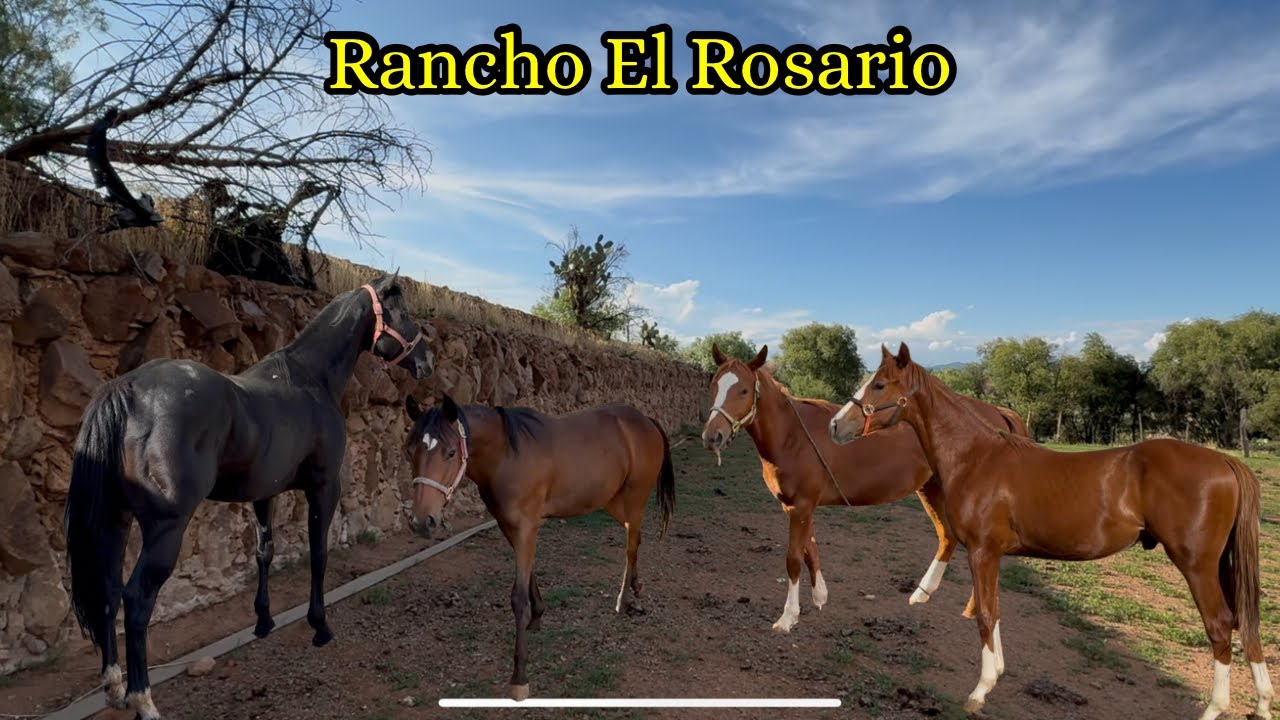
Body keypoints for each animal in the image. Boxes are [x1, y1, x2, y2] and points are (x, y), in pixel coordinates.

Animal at [64, 273, 433, 720]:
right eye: (403, 312)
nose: (428, 362)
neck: (310, 380)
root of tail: (129, 389)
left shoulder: (265, 495)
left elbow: (264, 553)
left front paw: (263, 621)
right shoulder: (324, 488)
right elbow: (318, 555)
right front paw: (320, 625)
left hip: (115, 521)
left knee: (108, 589)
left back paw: (115, 686)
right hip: (165, 529)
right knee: (136, 599)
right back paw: (143, 700)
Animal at [403, 393, 675, 701]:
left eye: (450, 453)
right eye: (409, 451)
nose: (422, 521)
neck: (508, 454)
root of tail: (645, 420)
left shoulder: (525, 526)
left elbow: (518, 597)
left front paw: (519, 678)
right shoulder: (511, 526)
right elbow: (530, 573)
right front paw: (538, 616)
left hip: (635, 498)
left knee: (630, 546)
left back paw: (623, 599)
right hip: (613, 501)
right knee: (635, 537)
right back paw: (637, 588)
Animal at [700, 344, 1027, 633]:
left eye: (744, 390)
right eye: (714, 386)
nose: (712, 437)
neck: (793, 437)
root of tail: (997, 413)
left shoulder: (801, 506)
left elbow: (794, 558)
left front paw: (788, 618)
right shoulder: (796, 507)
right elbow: (810, 549)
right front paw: (820, 596)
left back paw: (972, 609)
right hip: (931, 489)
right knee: (946, 536)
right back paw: (922, 594)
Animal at [830, 343, 1272, 720]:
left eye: (880, 384)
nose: (836, 426)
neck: (977, 457)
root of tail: (1226, 463)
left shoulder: (982, 551)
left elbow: (986, 615)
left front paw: (980, 690)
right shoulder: (990, 554)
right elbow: (994, 610)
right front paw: (996, 674)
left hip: (1197, 565)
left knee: (1220, 626)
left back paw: (1215, 707)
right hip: (1222, 565)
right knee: (1247, 624)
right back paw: (1264, 702)